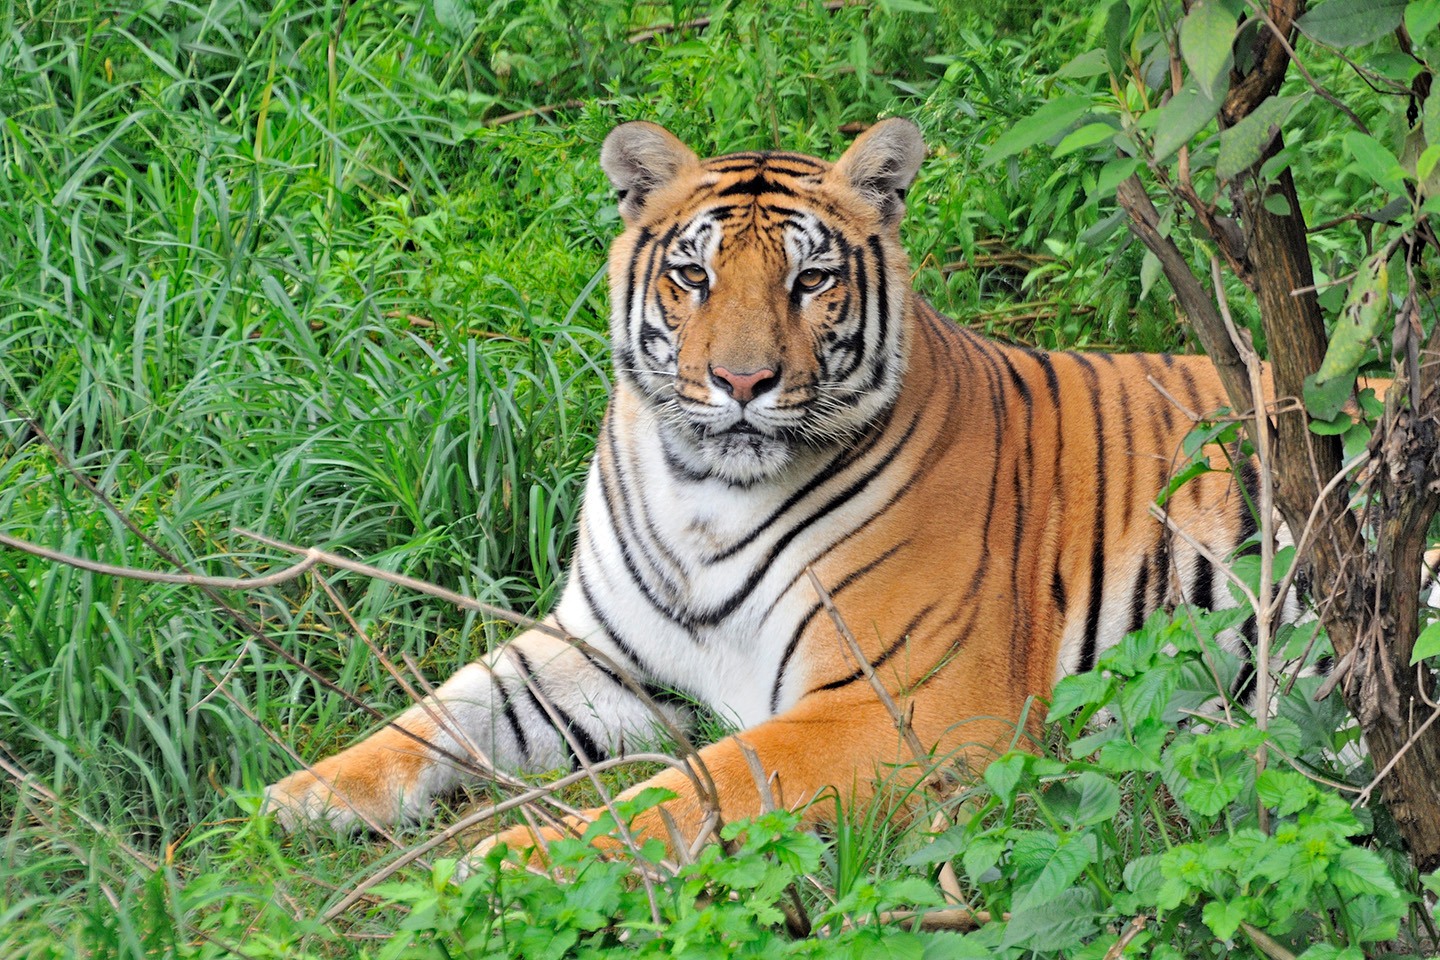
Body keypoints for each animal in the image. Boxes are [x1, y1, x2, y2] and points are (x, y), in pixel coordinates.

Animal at [262, 118, 1319, 857]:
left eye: (811, 281)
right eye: (692, 275)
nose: (741, 382)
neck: (702, 494)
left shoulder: (900, 707)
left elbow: (693, 790)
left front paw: (507, 863)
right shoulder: (599, 652)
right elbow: (448, 710)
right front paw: (302, 796)